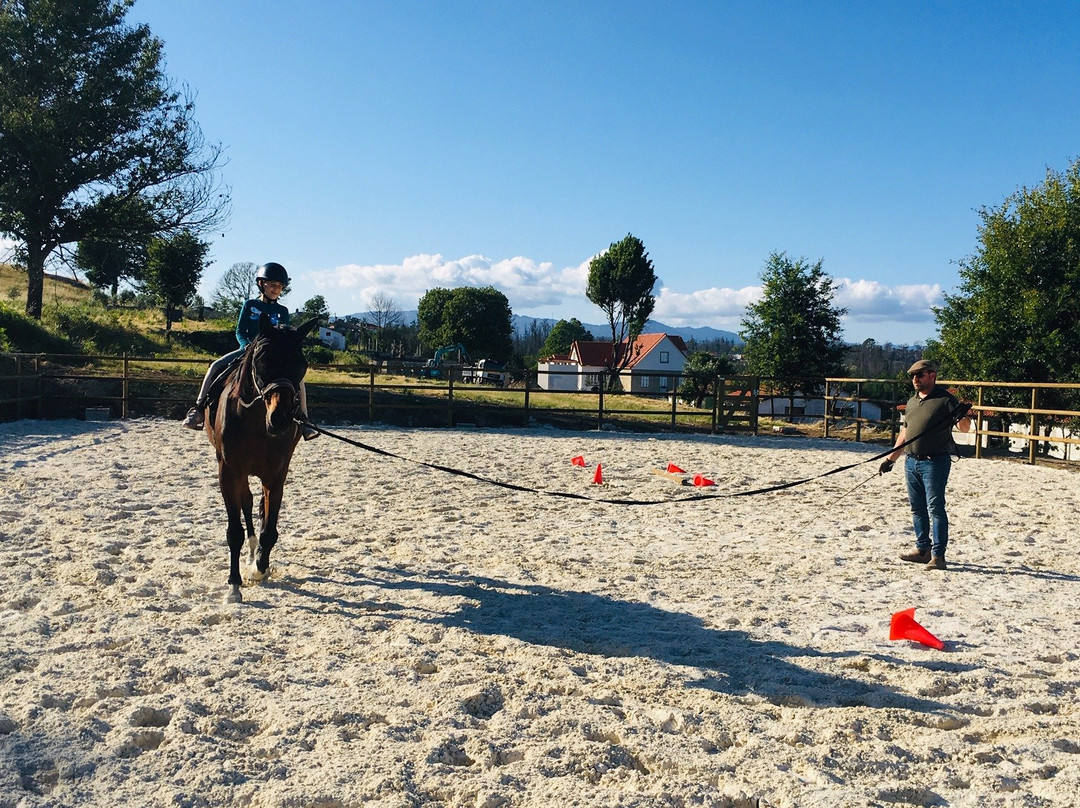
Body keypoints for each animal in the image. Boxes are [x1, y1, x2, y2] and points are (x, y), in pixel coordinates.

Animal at [205, 313, 315, 604]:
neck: (256, 421)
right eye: (262, 359)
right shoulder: (229, 471)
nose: (282, 418)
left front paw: (260, 569)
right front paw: (234, 586)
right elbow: (234, 532)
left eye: (301, 364)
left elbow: (270, 528)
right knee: (246, 501)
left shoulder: (276, 474)